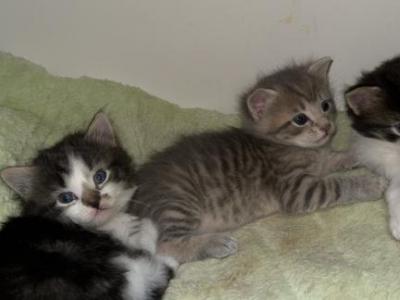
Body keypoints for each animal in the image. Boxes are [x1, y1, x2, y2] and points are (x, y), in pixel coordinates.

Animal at [131, 57, 388, 264]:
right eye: (300, 119)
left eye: (325, 105)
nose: (326, 127)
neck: (285, 146)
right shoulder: (297, 189)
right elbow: (336, 185)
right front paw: (370, 183)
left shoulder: (319, 161)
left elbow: (335, 157)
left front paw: (361, 153)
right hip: (176, 202)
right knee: (164, 247)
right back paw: (213, 243)